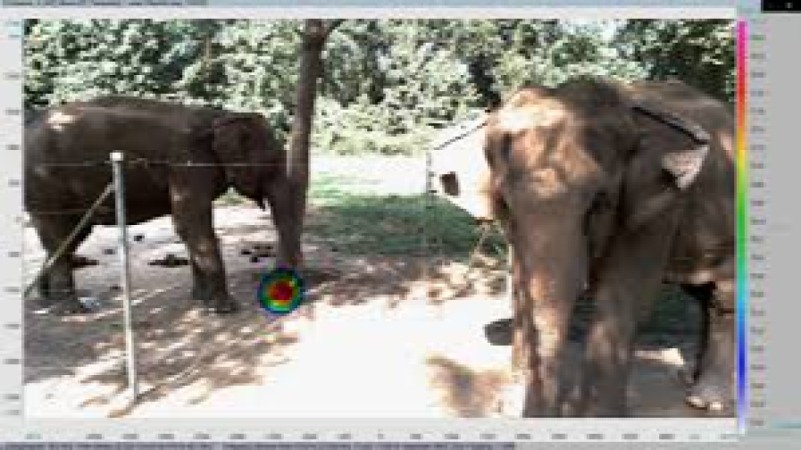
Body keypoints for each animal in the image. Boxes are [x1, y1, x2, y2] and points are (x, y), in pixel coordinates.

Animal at [24, 96, 300, 314]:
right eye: (272, 161)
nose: (285, 282)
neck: (220, 116)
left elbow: (186, 227)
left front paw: (200, 300)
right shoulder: (187, 164)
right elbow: (192, 223)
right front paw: (225, 308)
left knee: (69, 238)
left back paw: (46, 299)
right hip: (44, 183)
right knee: (60, 236)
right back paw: (69, 309)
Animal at [430, 78, 734, 417]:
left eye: (598, 203)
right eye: (505, 204)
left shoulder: (657, 208)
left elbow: (621, 293)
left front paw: (595, 416)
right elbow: (521, 288)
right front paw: (512, 402)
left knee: (724, 300)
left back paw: (707, 400)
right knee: (703, 294)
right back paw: (689, 379)